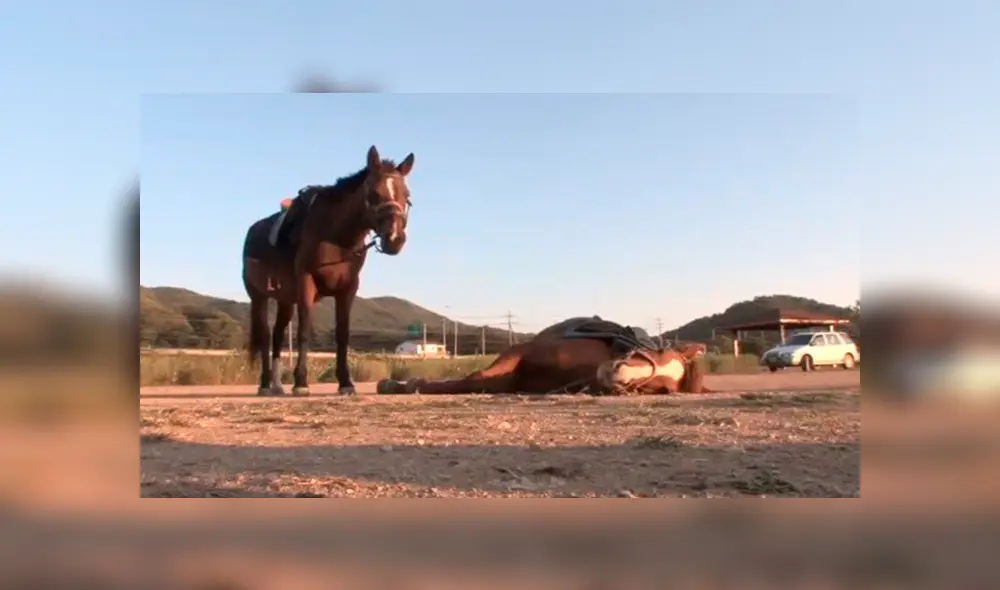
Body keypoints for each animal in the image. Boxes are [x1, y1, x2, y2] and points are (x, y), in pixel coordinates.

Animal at [242, 145, 415, 396]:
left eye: (407, 196)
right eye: (373, 194)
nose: (394, 239)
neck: (335, 236)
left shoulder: (348, 289)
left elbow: (342, 335)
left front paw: (345, 382)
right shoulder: (306, 283)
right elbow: (304, 332)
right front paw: (301, 382)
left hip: (285, 301)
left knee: (276, 335)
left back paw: (277, 385)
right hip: (259, 298)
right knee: (265, 337)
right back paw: (265, 383)